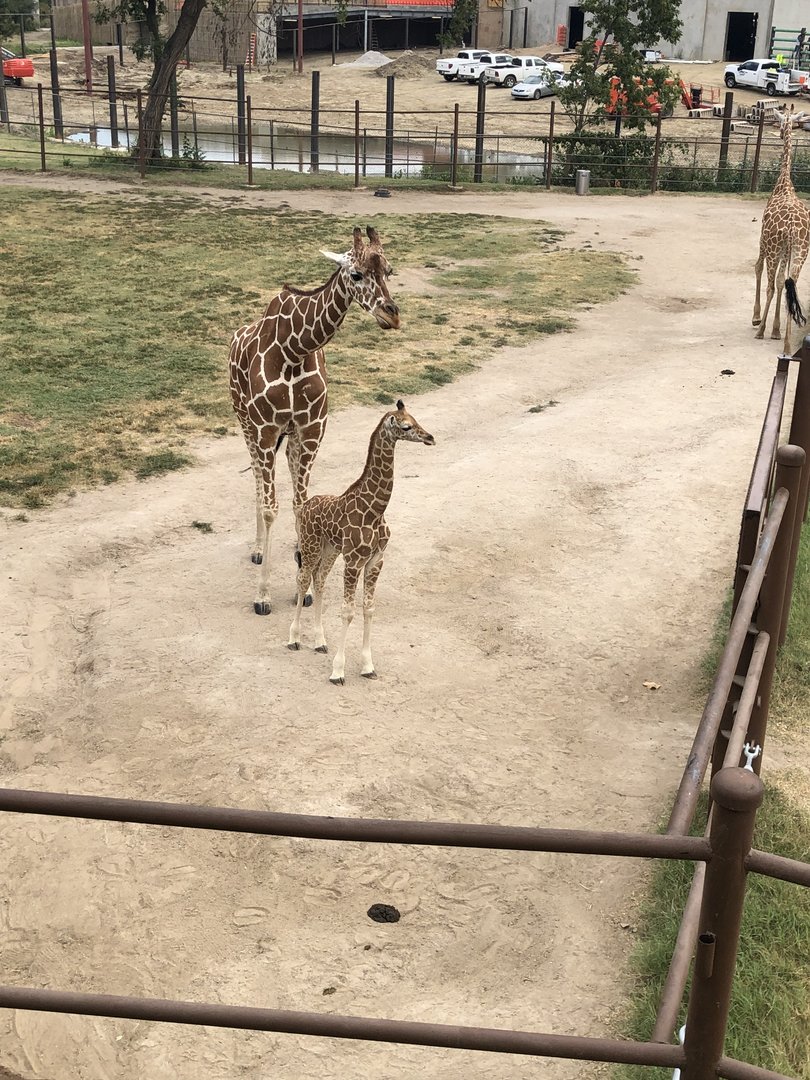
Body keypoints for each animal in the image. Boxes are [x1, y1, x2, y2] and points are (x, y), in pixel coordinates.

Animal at [229, 226, 400, 615]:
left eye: (389, 271)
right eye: (356, 275)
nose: (392, 315)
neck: (294, 349)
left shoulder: (311, 429)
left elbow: (300, 504)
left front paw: (303, 587)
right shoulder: (265, 429)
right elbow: (272, 507)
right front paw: (262, 595)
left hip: (289, 438)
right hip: (245, 422)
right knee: (257, 481)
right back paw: (258, 550)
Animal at [287, 401, 435, 684]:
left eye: (415, 419)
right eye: (406, 426)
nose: (430, 437)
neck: (374, 510)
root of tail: (306, 505)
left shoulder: (376, 560)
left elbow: (368, 608)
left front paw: (368, 666)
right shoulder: (354, 561)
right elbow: (348, 611)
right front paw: (338, 671)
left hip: (329, 550)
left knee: (319, 581)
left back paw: (320, 642)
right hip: (311, 545)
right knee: (302, 580)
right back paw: (294, 638)